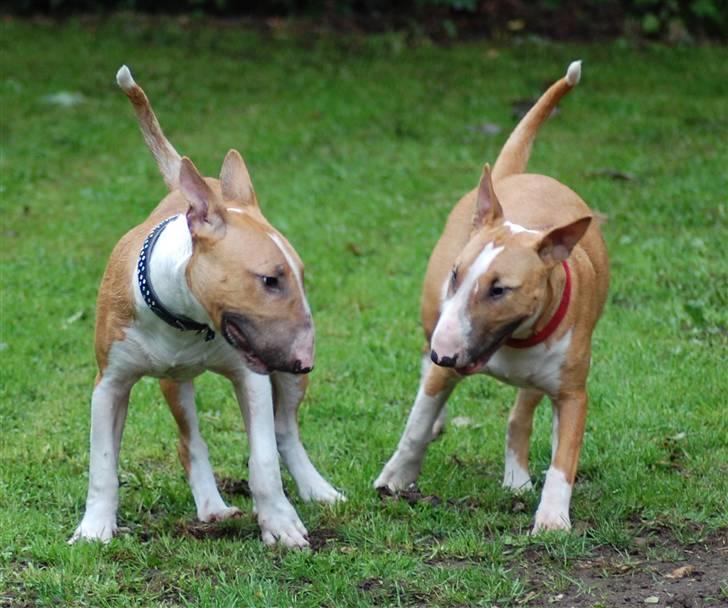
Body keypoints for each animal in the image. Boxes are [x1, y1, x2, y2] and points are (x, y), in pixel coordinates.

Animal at [69, 65, 342, 548]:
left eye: (300, 276)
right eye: (270, 280)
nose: (304, 360)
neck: (184, 321)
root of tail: (213, 185)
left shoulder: (251, 376)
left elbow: (264, 458)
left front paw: (280, 524)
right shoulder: (109, 384)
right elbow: (102, 462)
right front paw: (94, 528)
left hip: (279, 384)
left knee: (285, 431)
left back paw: (315, 489)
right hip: (174, 383)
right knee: (190, 440)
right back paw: (212, 507)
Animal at [376, 60, 608, 532]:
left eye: (500, 289)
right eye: (456, 275)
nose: (446, 354)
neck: (515, 342)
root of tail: (511, 176)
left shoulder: (573, 392)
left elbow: (565, 456)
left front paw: (552, 518)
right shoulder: (443, 352)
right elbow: (415, 424)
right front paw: (395, 476)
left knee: (520, 413)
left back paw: (517, 477)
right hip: (430, 317)